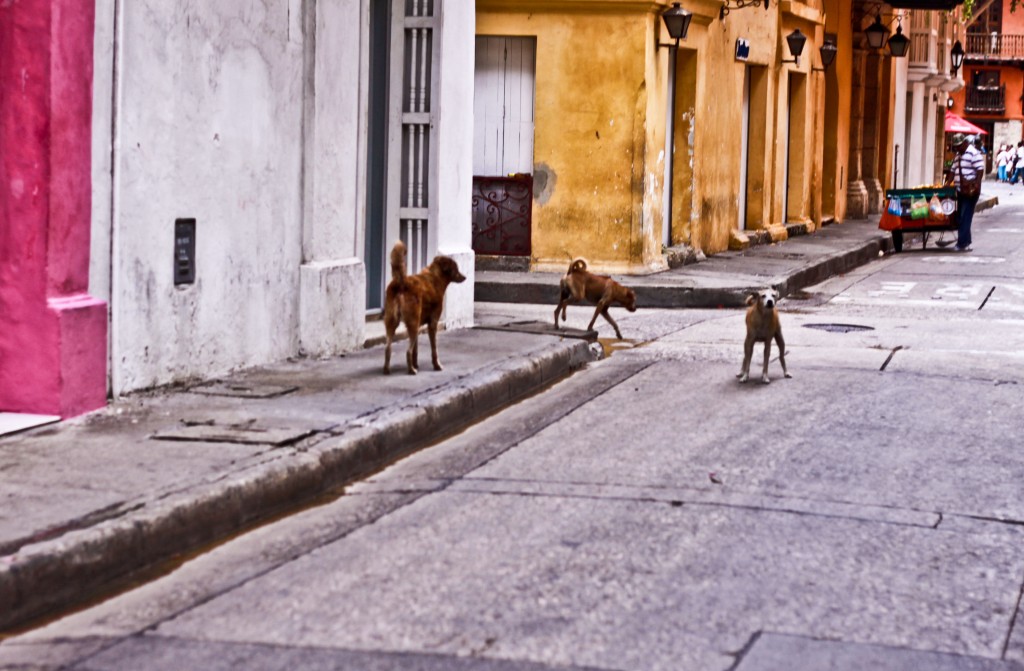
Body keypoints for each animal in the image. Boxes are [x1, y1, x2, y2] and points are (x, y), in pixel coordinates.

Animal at [382, 241, 466, 374]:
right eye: (456, 269)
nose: (465, 277)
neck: (435, 277)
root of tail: (401, 282)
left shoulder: (419, 325)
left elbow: (416, 350)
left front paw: (416, 364)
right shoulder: (433, 323)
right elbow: (434, 349)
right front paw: (436, 365)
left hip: (393, 322)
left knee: (388, 348)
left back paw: (388, 369)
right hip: (413, 322)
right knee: (408, 351)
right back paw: (411, 370)